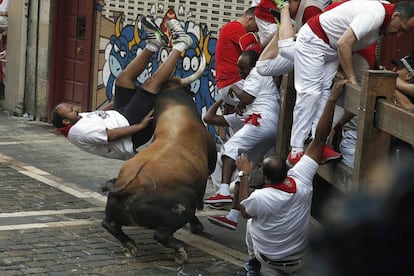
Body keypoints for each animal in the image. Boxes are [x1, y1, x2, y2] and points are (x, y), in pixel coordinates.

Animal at [101, 53, 217, 264]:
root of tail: (130, 187)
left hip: (113, 211)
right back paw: (180, 250)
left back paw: (129, 245)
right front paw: (197, 226)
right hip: (183, 205)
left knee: (108, 224)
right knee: (161, 234)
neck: (175, 114)